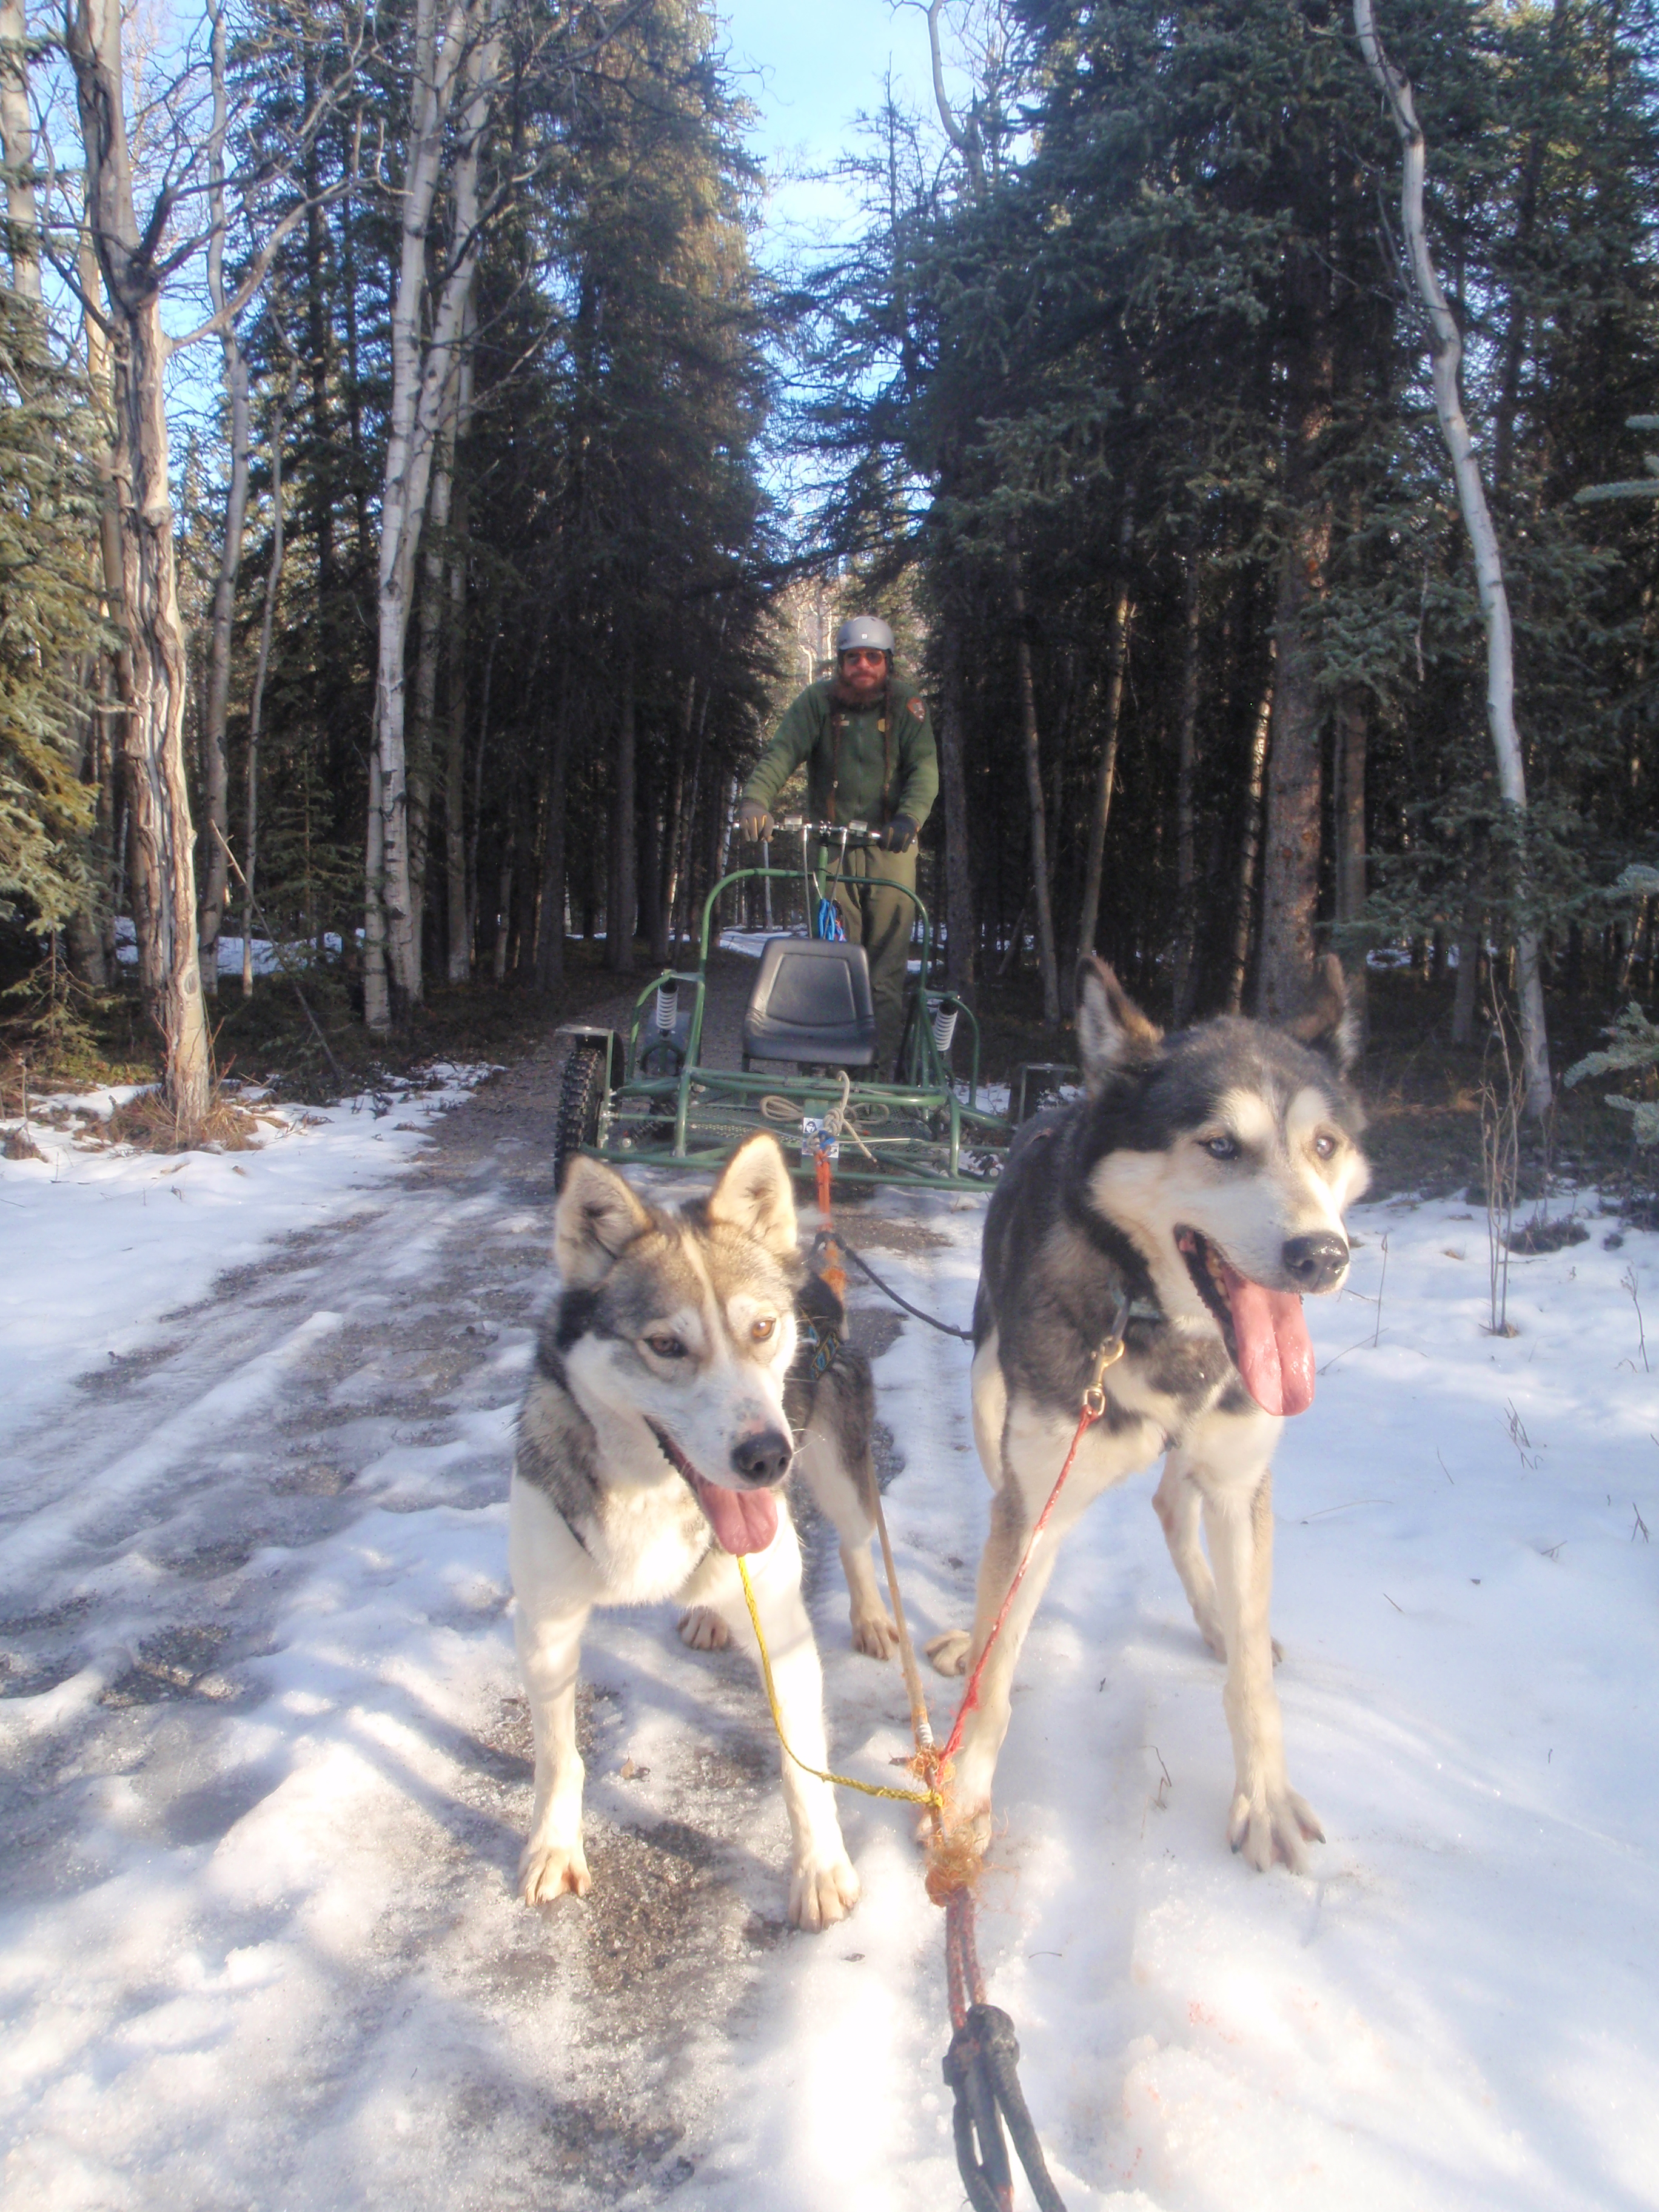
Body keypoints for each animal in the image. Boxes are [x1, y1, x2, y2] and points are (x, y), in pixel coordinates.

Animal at [513, 1132, 889, 1929]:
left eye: (761, 1329)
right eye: (665, 1345)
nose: (767, 1457)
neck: (651, 1496)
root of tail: (809, 1270)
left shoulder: (782, 1627)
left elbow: (803, 1769)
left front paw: (819, 1868)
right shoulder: (546, 1626)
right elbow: (558, 1755)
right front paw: (554, 1847)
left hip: (838, 1472)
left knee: (856, 1539)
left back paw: (873, 1615)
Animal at [929, 960, 1371, 1875]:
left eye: (1324, 1145)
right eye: (1220, 1145)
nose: (1322, 1256)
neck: (1163, 1328)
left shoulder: (1239, 1481)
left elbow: (1252, 1682)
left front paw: (1265, 1797)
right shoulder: (1039, 1494)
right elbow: (996, 1668)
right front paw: (965, 1804)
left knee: (1176, 1506)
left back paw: (1220, 1622)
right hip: (993, 1398)